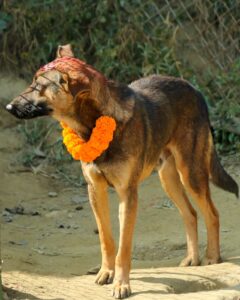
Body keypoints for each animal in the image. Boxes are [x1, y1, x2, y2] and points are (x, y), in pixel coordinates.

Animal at [5, 44, 238, 298]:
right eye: (32, 83)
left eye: (39, 86)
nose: (8, 107)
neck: (96, 122)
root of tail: (195, 90)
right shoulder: (95, 191)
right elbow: (106, 240)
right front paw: (106, 273)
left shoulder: (127, 195)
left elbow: (124, 248)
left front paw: (122, 284)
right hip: (168, 178)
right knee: (191, 214)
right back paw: (192, 259)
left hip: (191, 174)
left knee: (212, 214)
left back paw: (212, 257)